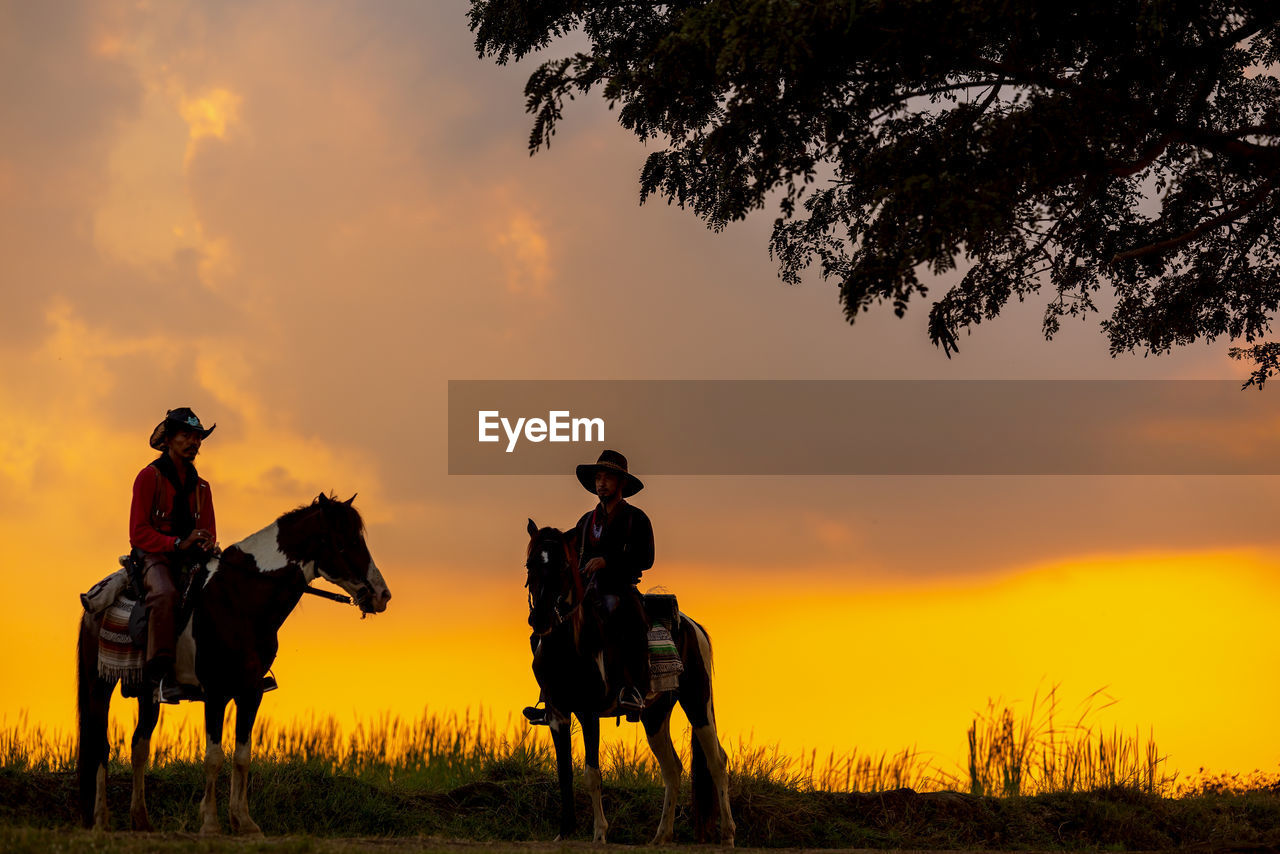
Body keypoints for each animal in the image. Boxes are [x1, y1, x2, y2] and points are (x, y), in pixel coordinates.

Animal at [76, 494, 389, 834]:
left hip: (148, 693)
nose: (382, 595)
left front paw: (244, 821)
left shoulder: (250, 692)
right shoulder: (215, 692)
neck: (240, 599)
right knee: (100, 745)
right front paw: (211, 823)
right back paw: (101, 819)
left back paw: (141, 820)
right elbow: (214, 757)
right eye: (345, 542)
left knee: (139, 746)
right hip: (99, 684)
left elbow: (242, 756)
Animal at [524, 522, 737, 850]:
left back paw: (727, 835)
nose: (541, 619)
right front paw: (565, 831)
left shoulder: (588, 712)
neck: (570, 644)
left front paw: (599, 834)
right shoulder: (558, 714)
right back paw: (661, 836)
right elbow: (564, 773)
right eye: (530, 564)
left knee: (716, 762)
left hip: (698, 702)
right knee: (672, 769)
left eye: (562, 566)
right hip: (655, 714)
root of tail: (692, 626)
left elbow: (591, 774)